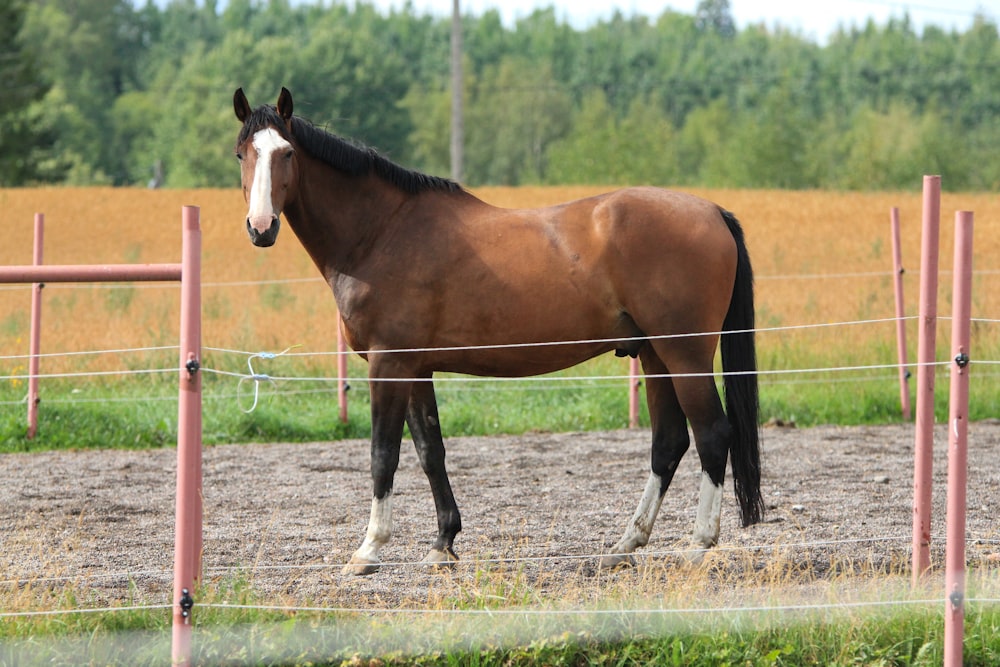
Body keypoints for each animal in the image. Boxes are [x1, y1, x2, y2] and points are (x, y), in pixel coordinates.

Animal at [234, 88, 760, 576]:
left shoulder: (390, 364)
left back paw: (698, 544)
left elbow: (383, 454)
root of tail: (712, 211)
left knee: (712, 434)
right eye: (242, 153)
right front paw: (443, 543)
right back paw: (626, 544)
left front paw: (368, 550)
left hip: (685, 354)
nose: (261, 228)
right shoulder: (417, 368)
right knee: (668, 442)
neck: (381, 233)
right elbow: (430, 451)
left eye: (287, 153)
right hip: (654, 356)